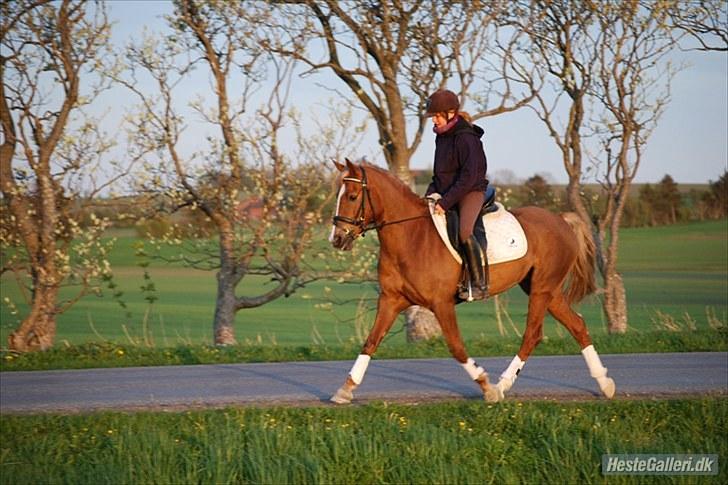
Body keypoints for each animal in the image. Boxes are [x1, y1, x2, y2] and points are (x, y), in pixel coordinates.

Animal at [330, 161, 616, 402]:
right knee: (577, 326)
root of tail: (560, 220)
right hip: (547, 290)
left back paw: (502, 385)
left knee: (532, 334)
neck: (412, 236)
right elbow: (371, 342)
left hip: (542, 290)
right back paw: (605, 383)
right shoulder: (391, 300)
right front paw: (345, 389)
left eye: (352, 196)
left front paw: (487, 387)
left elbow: (456, 347)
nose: (336, 239)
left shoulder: (441, 304)